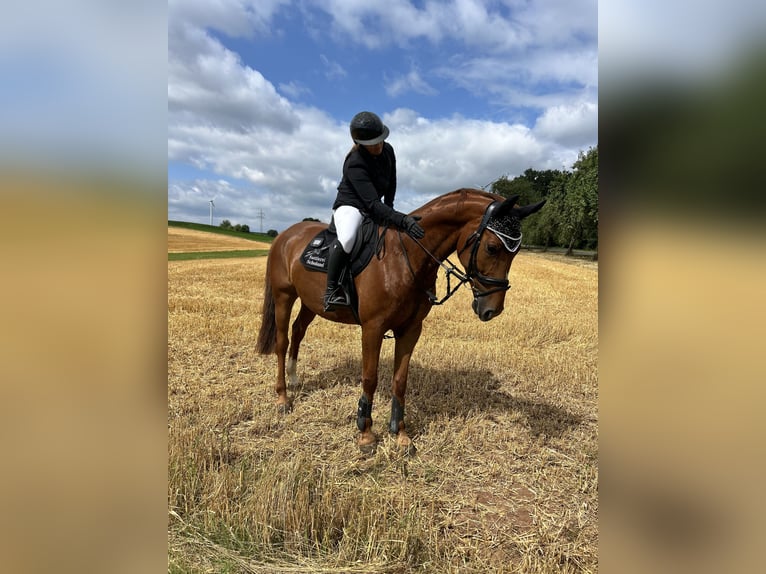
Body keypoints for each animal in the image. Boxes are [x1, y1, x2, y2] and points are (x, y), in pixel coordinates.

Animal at [256, 188, 545, 450]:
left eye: (516, 251)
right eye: (492, 247)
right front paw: (366, 434)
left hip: (311, 303)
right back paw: (283, 398)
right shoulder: (372, 329)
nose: (492, 309)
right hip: (284, 296)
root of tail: (286, 235)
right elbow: (370, 378)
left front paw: (400, 434)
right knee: (282, 341)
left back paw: (294, 378)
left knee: (298, 331)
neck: (405, 258)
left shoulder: (410, 329)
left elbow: (400, 380)